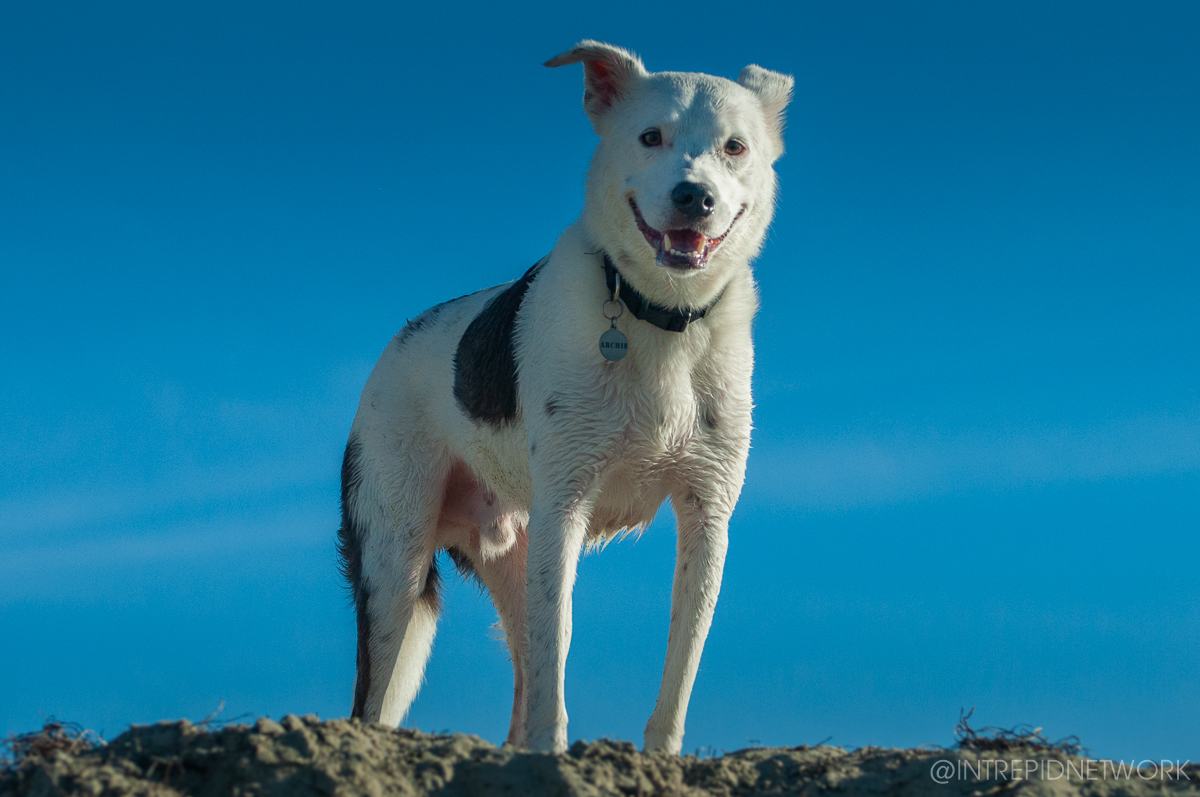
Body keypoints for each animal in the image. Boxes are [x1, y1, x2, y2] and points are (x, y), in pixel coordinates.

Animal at [338, 42, 792, 753]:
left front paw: (659, 755)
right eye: (650, 137)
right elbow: (560, 644)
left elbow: (681, 658)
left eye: (735, 147)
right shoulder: (566, 505)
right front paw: (555, 751)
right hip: (394, 563)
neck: (660, 317)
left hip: (510, 552)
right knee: (378, 696)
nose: (694, 197)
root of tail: (398, 342)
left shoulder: (708, 512)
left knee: (525, 666)